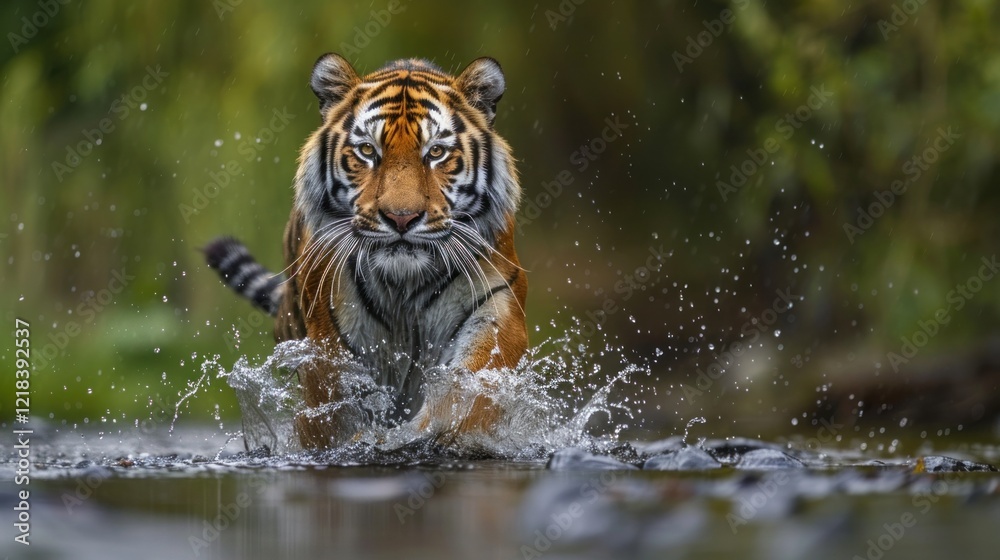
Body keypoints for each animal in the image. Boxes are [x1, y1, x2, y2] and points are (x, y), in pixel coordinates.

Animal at [205, 53, 528, 449]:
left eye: (436, 152)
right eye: (367, 151)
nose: (401, 217)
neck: (405, 284)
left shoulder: (496, 306)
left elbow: (470, 390)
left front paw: (437, 430)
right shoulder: (328, 348)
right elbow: (330, 418)